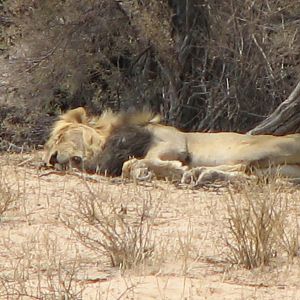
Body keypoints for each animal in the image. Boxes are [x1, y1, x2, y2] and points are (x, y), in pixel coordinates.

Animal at [42, 106, 300, 184]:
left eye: (61, 137)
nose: (51, 159)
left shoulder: (173, 141)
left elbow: (140, 160)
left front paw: (174, 169)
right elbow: (129, 166)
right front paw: (143, 173)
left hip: (252, 148)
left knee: (242, 166)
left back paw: (197, 172)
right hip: (275, 169)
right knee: (249, 174)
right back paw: (203, 174)